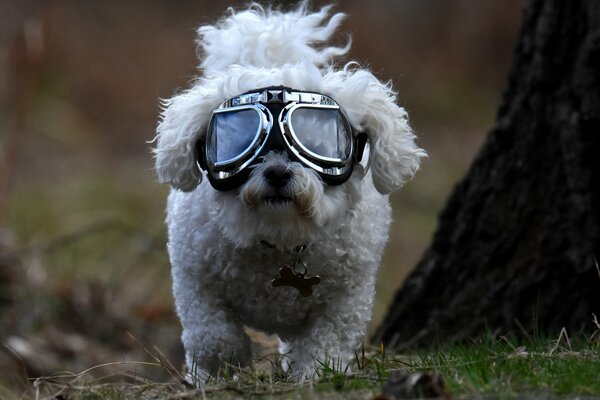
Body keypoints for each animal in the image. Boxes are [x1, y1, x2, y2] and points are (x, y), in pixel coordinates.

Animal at [155, 2, 426, 384]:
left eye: (318, 140)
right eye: (239, 135)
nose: (278, 173)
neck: (279, 237)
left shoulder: (347, 298)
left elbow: (327, 342)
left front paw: (314, 376)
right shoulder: (194, 281)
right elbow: (213, 334)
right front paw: (218, 370)